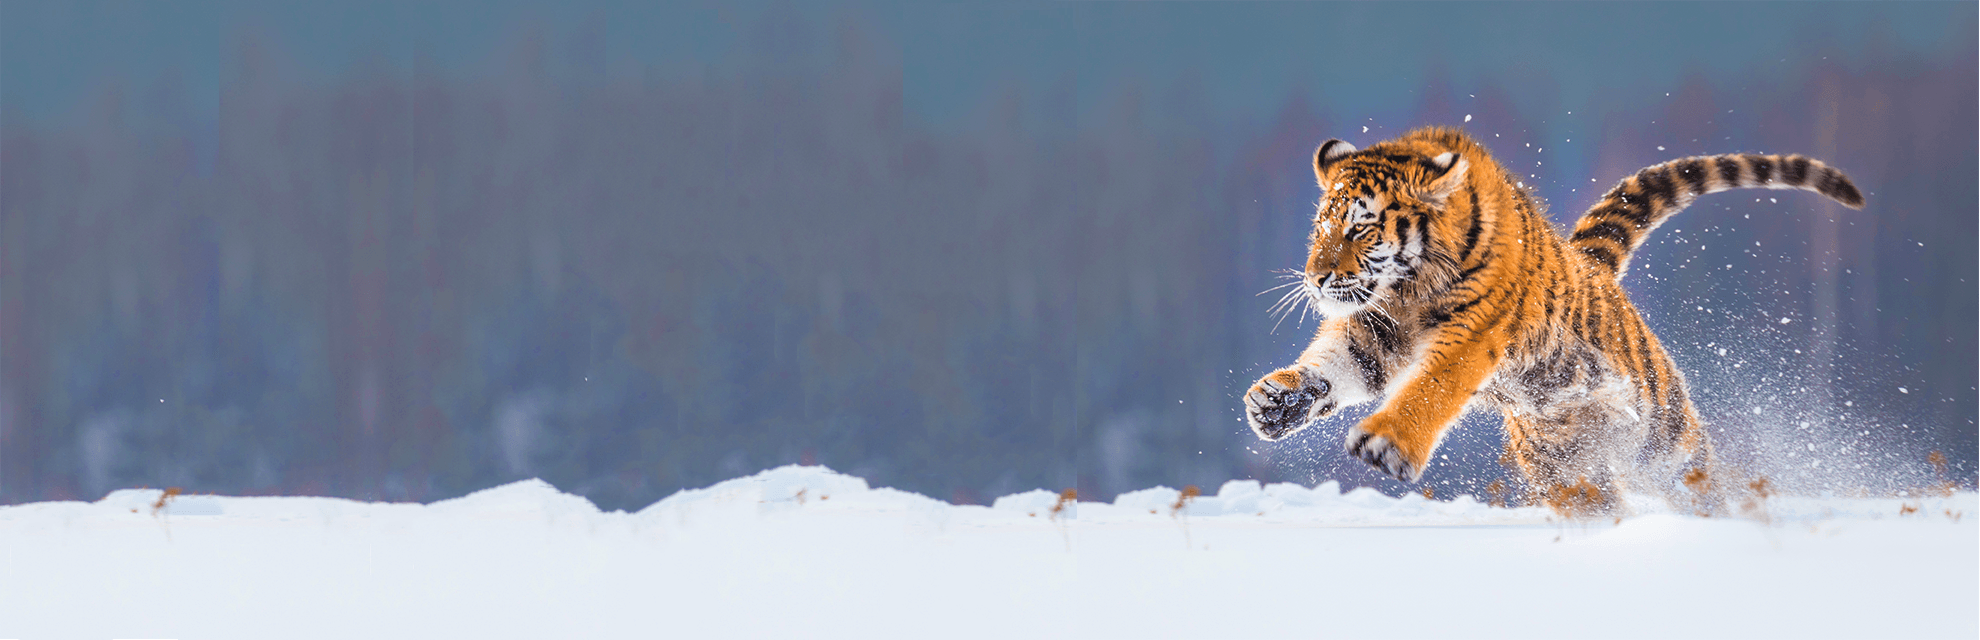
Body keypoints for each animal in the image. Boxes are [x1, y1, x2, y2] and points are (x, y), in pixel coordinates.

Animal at [1243, 126, 1861, 515]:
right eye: (1321, 227)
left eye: (1361, 228)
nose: (1315, 278)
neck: (1408, 289)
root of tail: (1594, 264)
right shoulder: (1375, 328)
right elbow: (1334, 366)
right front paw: (1276, 402)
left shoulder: (1473, 332)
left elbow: (1430, 387)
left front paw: (1385, 444)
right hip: (1566, 471)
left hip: (1663, 440)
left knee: (1698, 487)